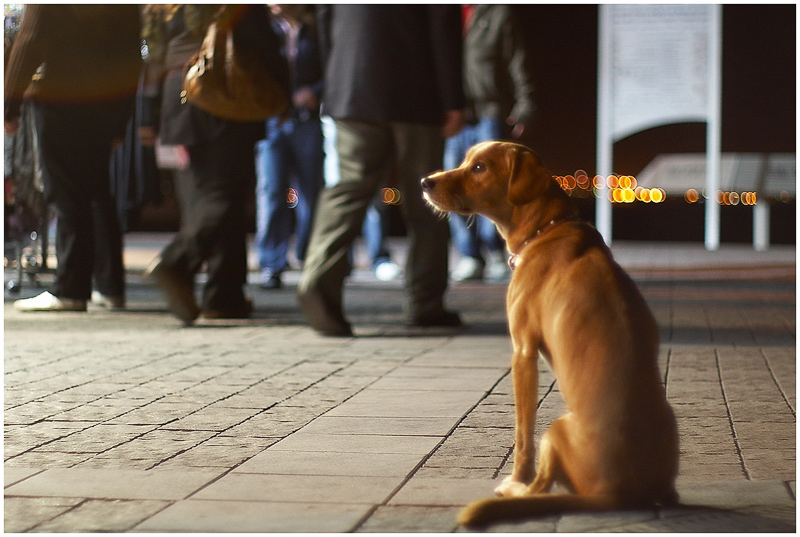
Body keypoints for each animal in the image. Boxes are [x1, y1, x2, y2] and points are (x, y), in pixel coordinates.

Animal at [422, 140, 680, 524]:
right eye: (466, 160)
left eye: (479, 167)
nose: (425, 182)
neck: (546, 229)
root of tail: (618, 495)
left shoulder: (523, 353)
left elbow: (522, 436)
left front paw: (516, 478)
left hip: (555, 430)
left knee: (540, 486)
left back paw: (515, 491)